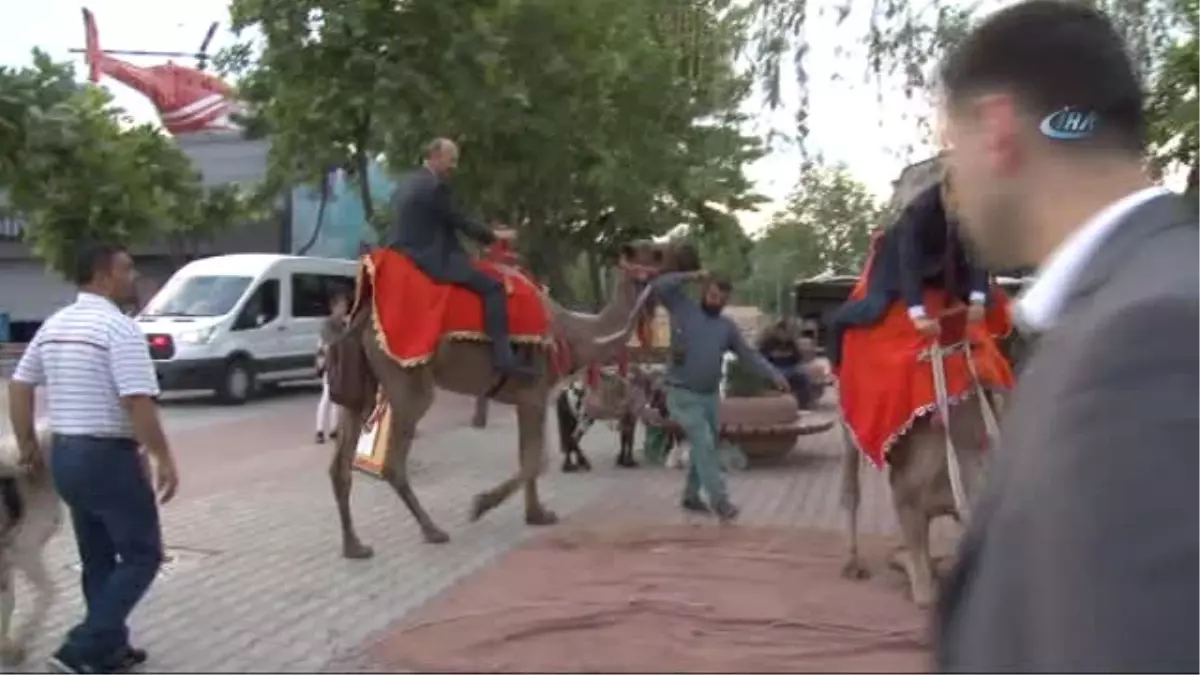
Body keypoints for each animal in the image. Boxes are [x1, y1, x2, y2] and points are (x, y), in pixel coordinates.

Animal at [328, 239, 696, 554]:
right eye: (656, 253)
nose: (690, 255)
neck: (572, 334)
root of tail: (362, 316)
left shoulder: (526, 398)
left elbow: (529, 457)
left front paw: (537, 515)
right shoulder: (535, 392)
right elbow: (537, 459)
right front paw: (481, 505)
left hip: (363, 384)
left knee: (340, 462)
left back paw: (354, 546)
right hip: (407, 379)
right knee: (393, 462)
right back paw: (432, 530)